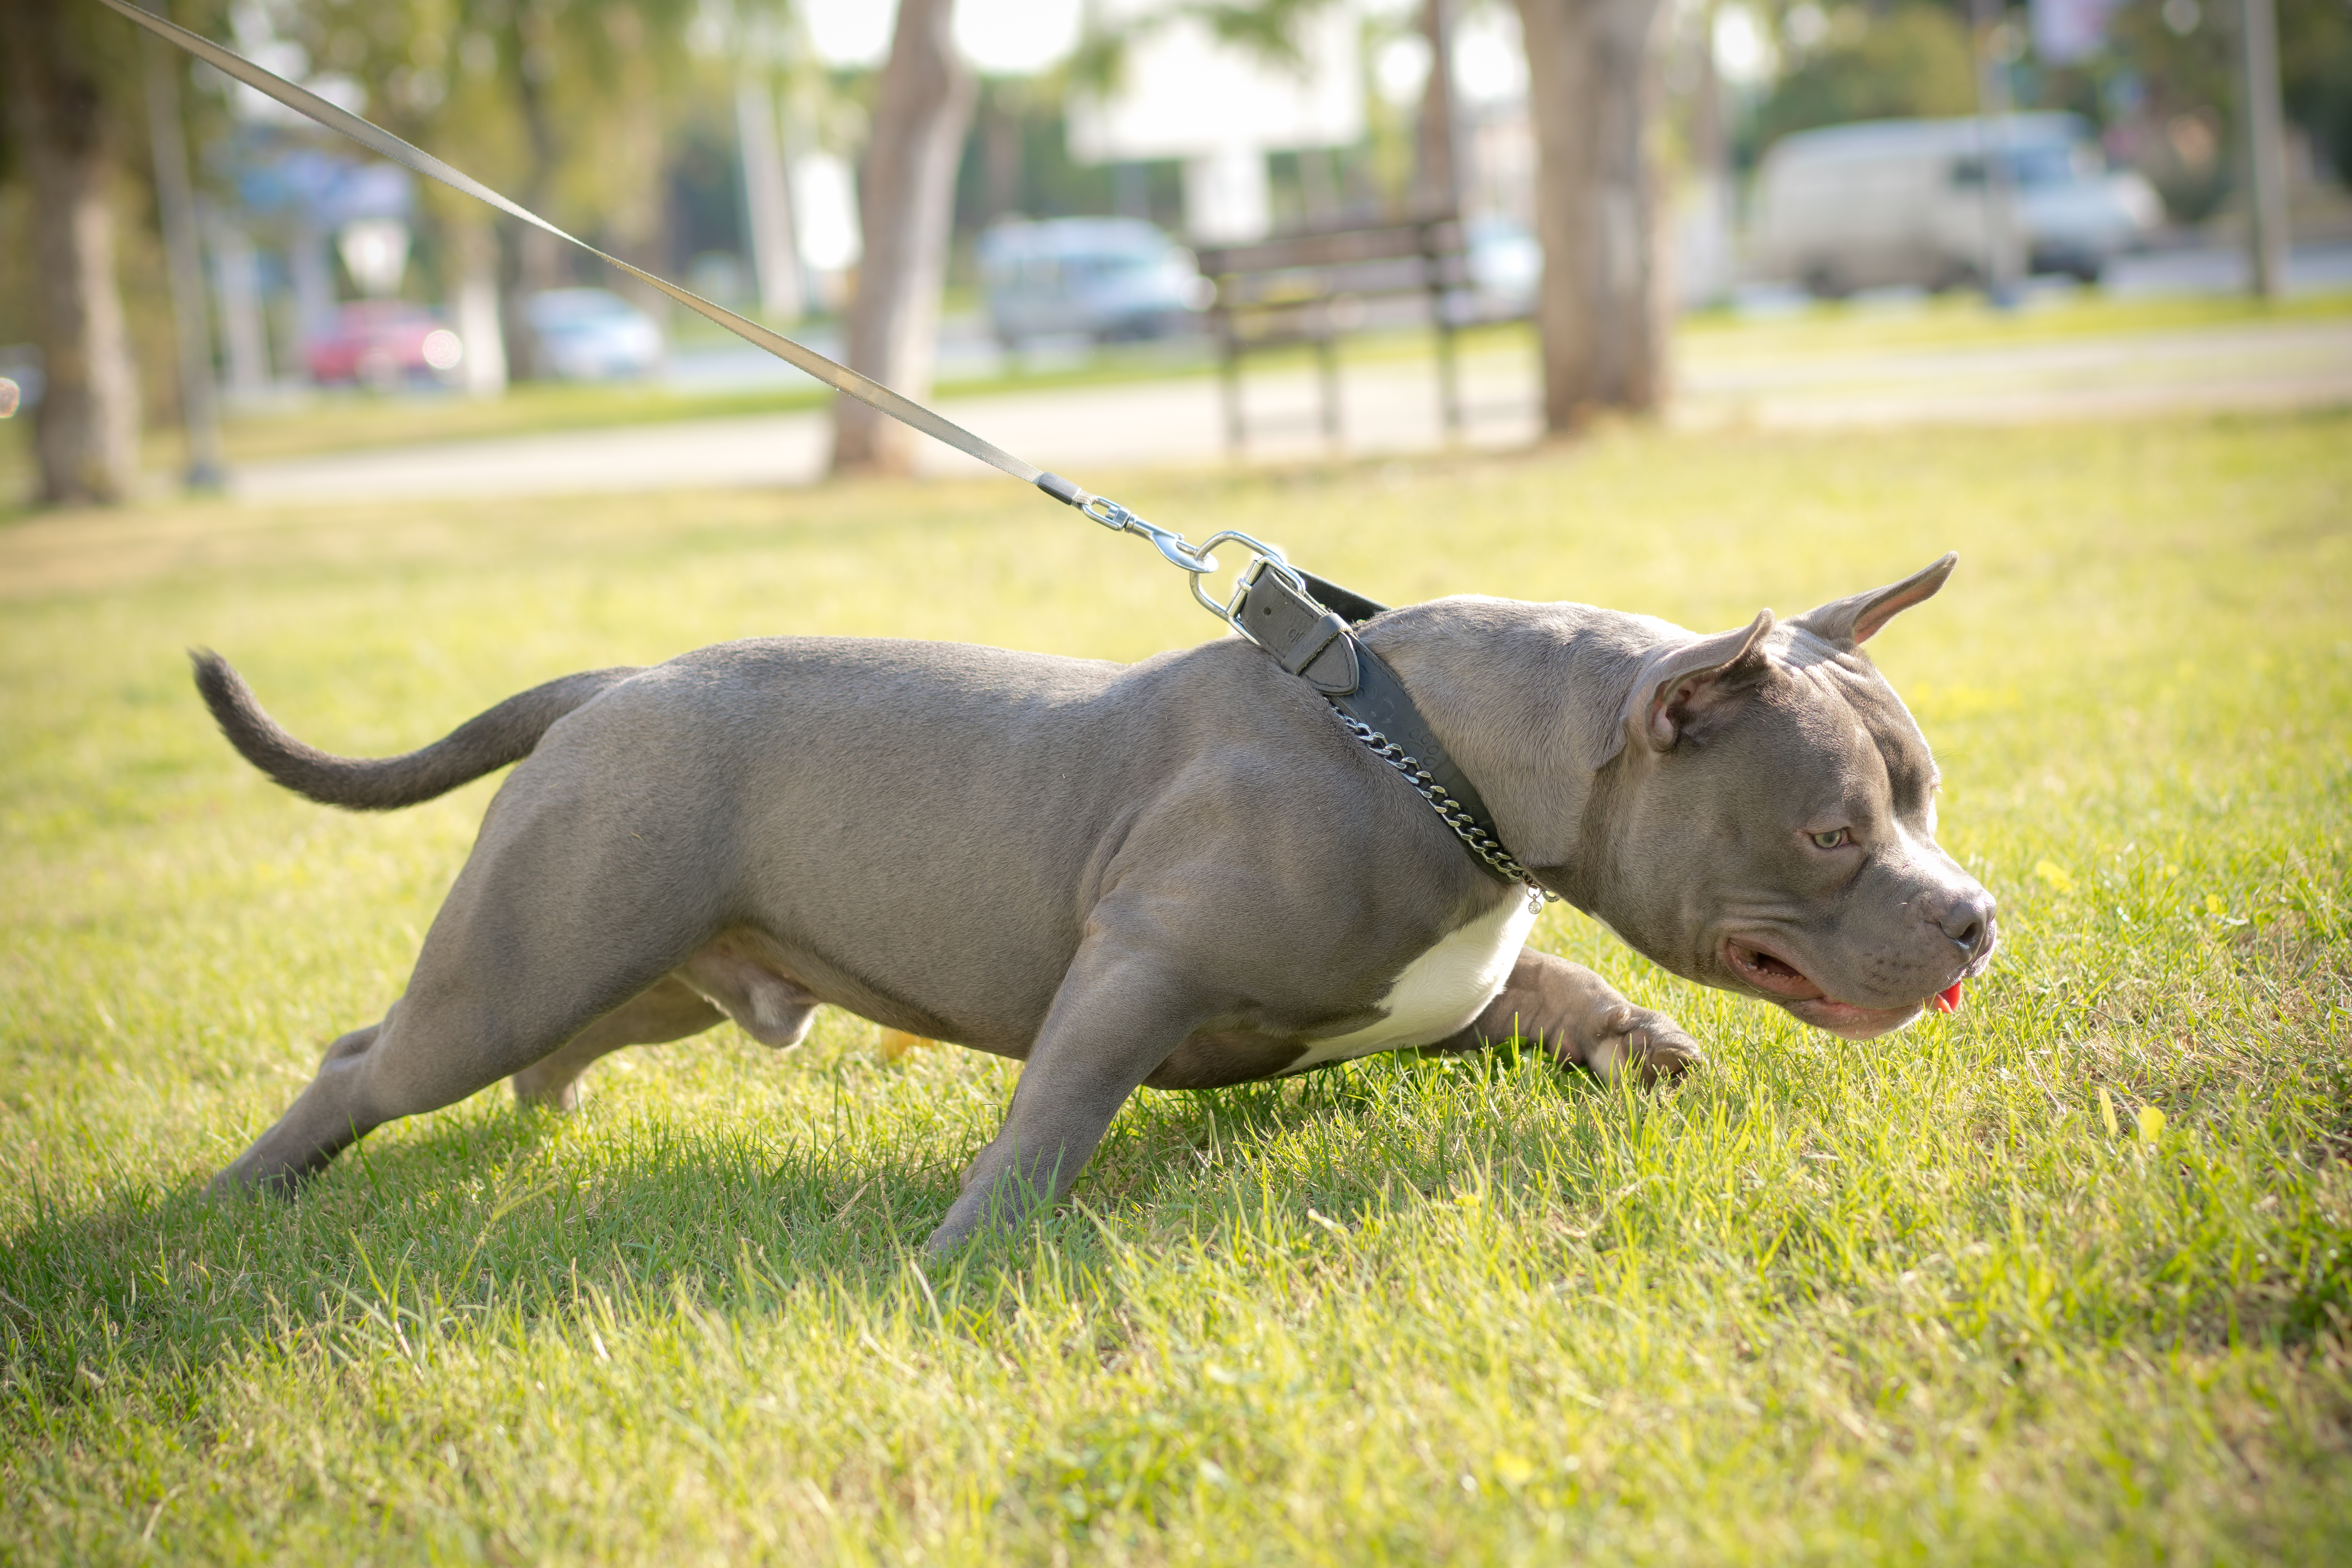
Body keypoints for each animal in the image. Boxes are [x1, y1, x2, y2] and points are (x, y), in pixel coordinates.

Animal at [202, 552, 1994, 1251]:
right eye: (1832, 831)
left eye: (1926, 799)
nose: (1976, 916)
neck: (1430, 752)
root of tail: (616, 683)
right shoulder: (1135, 968)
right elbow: (1053, 1118)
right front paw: (965, 1255)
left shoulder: (1439, 988)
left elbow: (1549, 996)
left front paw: (1640, 1044)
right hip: (534, 949)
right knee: (372, 1061)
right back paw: (237, 1200)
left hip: (648, 971)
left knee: (522, 1051)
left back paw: (541, 1118)